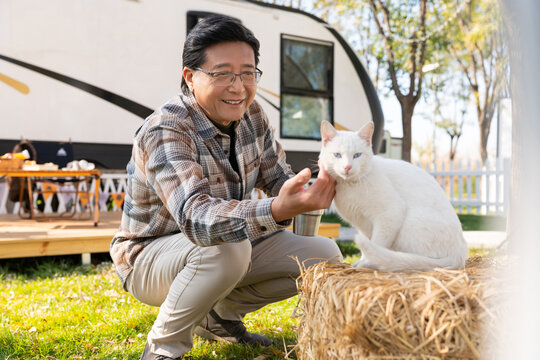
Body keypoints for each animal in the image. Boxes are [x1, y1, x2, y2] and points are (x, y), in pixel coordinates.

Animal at [318, 119, 466, 272]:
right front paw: (363, 261)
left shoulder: (390, 213)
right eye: (337, 155)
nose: (347, 167)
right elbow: (370, 245)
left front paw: (367, 263)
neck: (350, 185)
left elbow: (376, 244)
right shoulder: (364, 225)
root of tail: (460, 253)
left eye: (357, 155)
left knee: (417, 260)